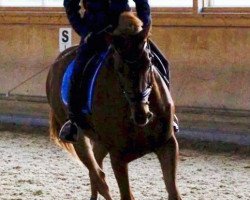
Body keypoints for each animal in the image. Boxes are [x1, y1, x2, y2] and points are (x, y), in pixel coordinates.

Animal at [46, 12, 182, 200]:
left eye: (149, 62)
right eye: (119, 68)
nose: (141, 115)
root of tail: (55, 64)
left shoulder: (167, 145)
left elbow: (173, 192)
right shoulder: (118, 157)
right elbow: (124, 194)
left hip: (101, 142)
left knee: (96, 169)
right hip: (79, 138)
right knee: (98, 176)